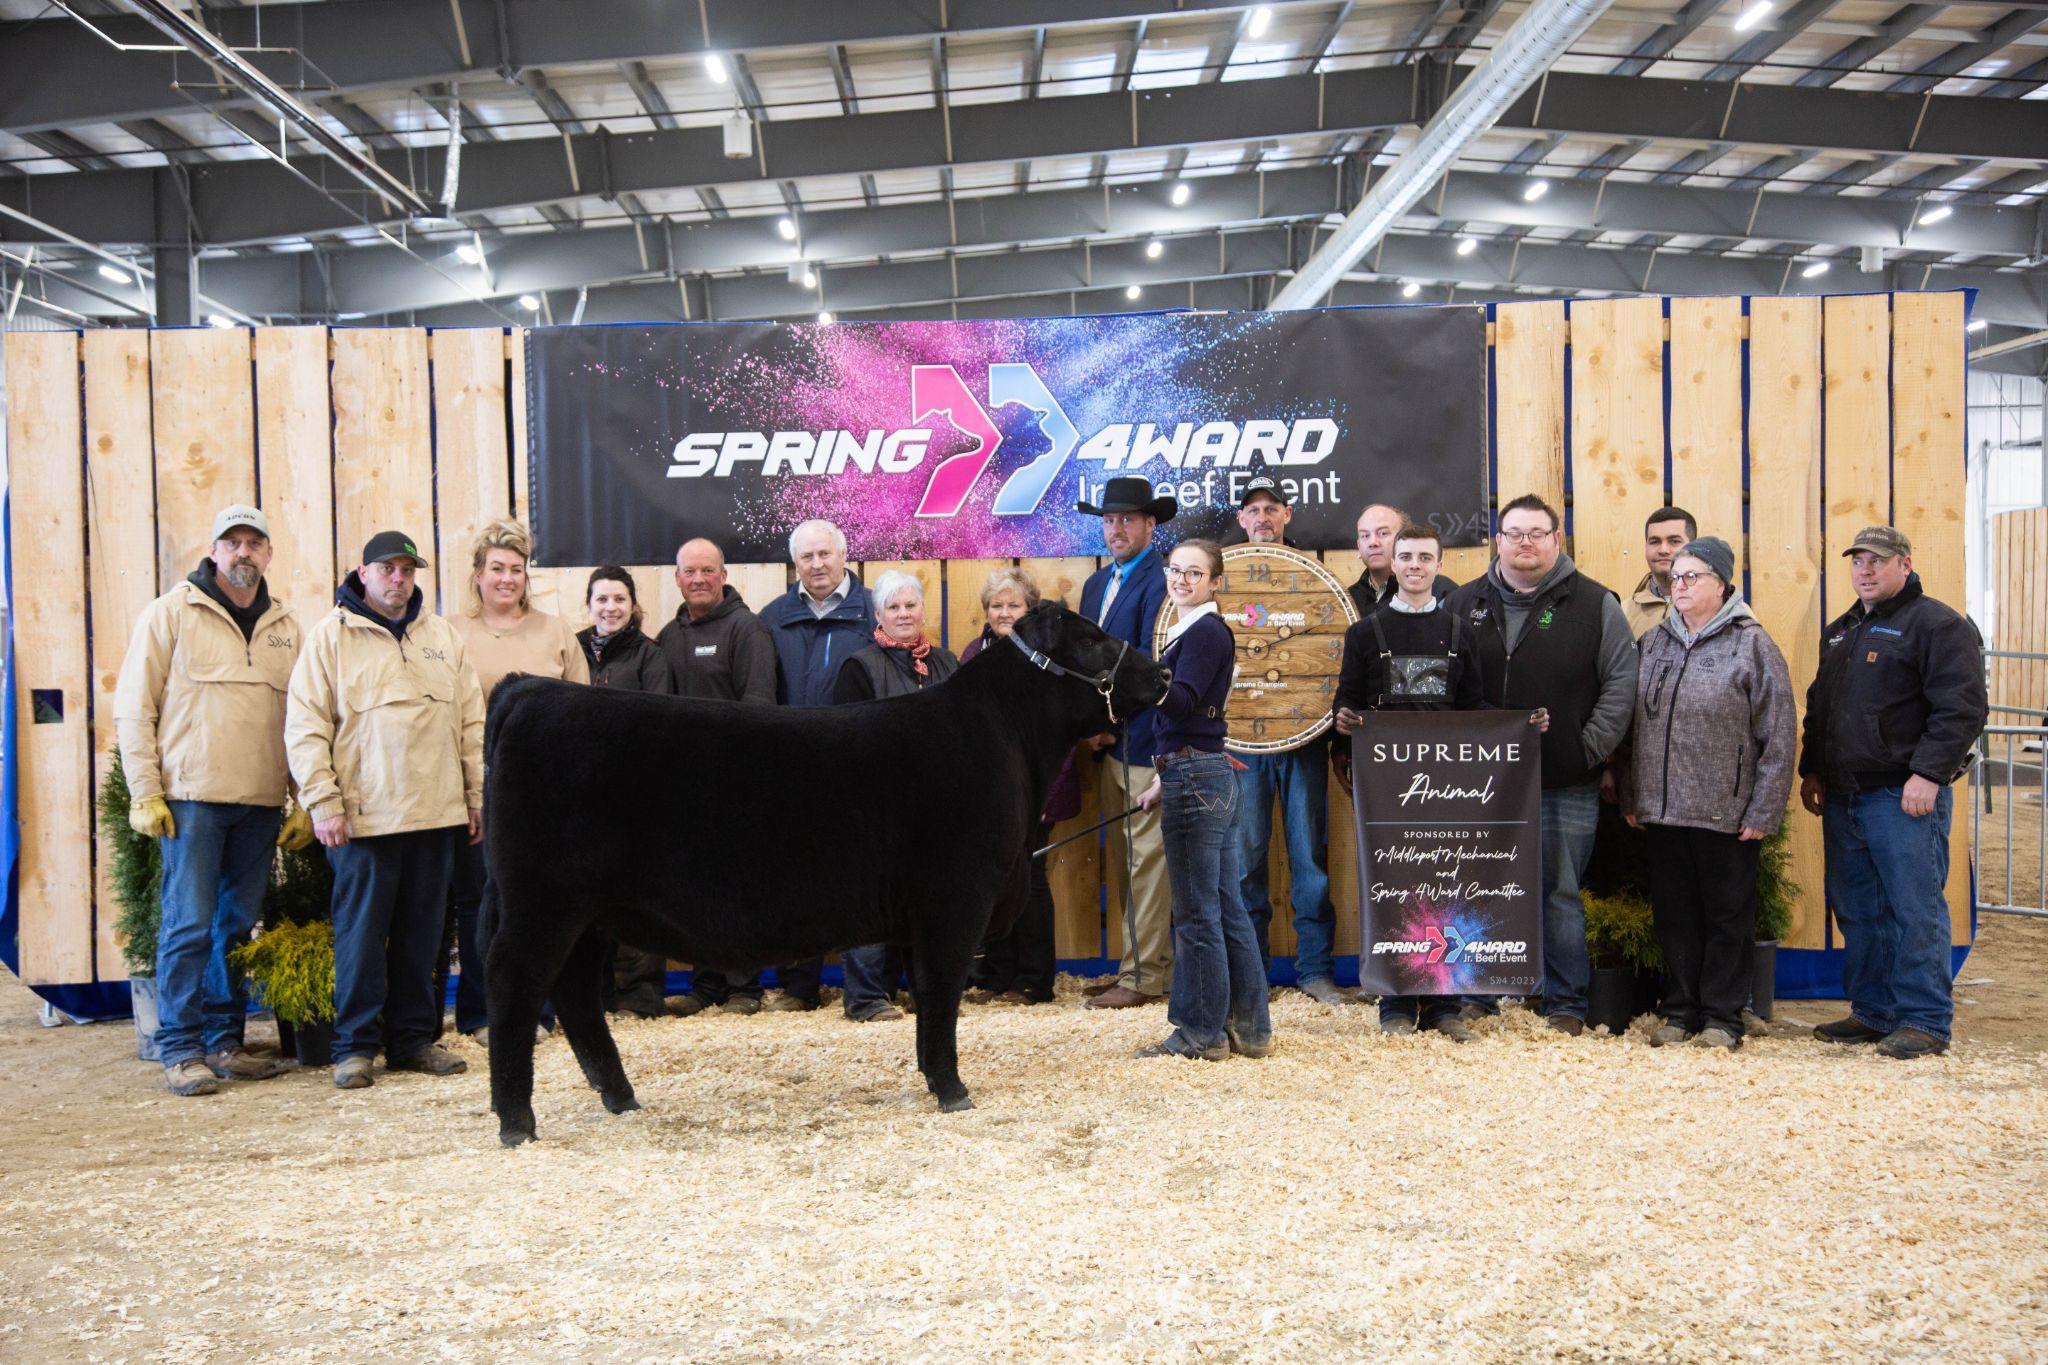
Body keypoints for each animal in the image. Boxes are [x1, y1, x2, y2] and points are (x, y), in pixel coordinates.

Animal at [479, 601, 1171, 1146]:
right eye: (1090, 638)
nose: (1164, 672)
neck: (1003, 737)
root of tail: (531, 690)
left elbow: (927, 1002)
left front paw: (933, 1078)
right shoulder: (955, 902)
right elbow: (943, 995)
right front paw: (953, 1089)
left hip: (588, 914)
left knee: (573, 993)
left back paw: (619, 1097)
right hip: (543, 902)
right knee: (515, 981)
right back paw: (517, 1122)